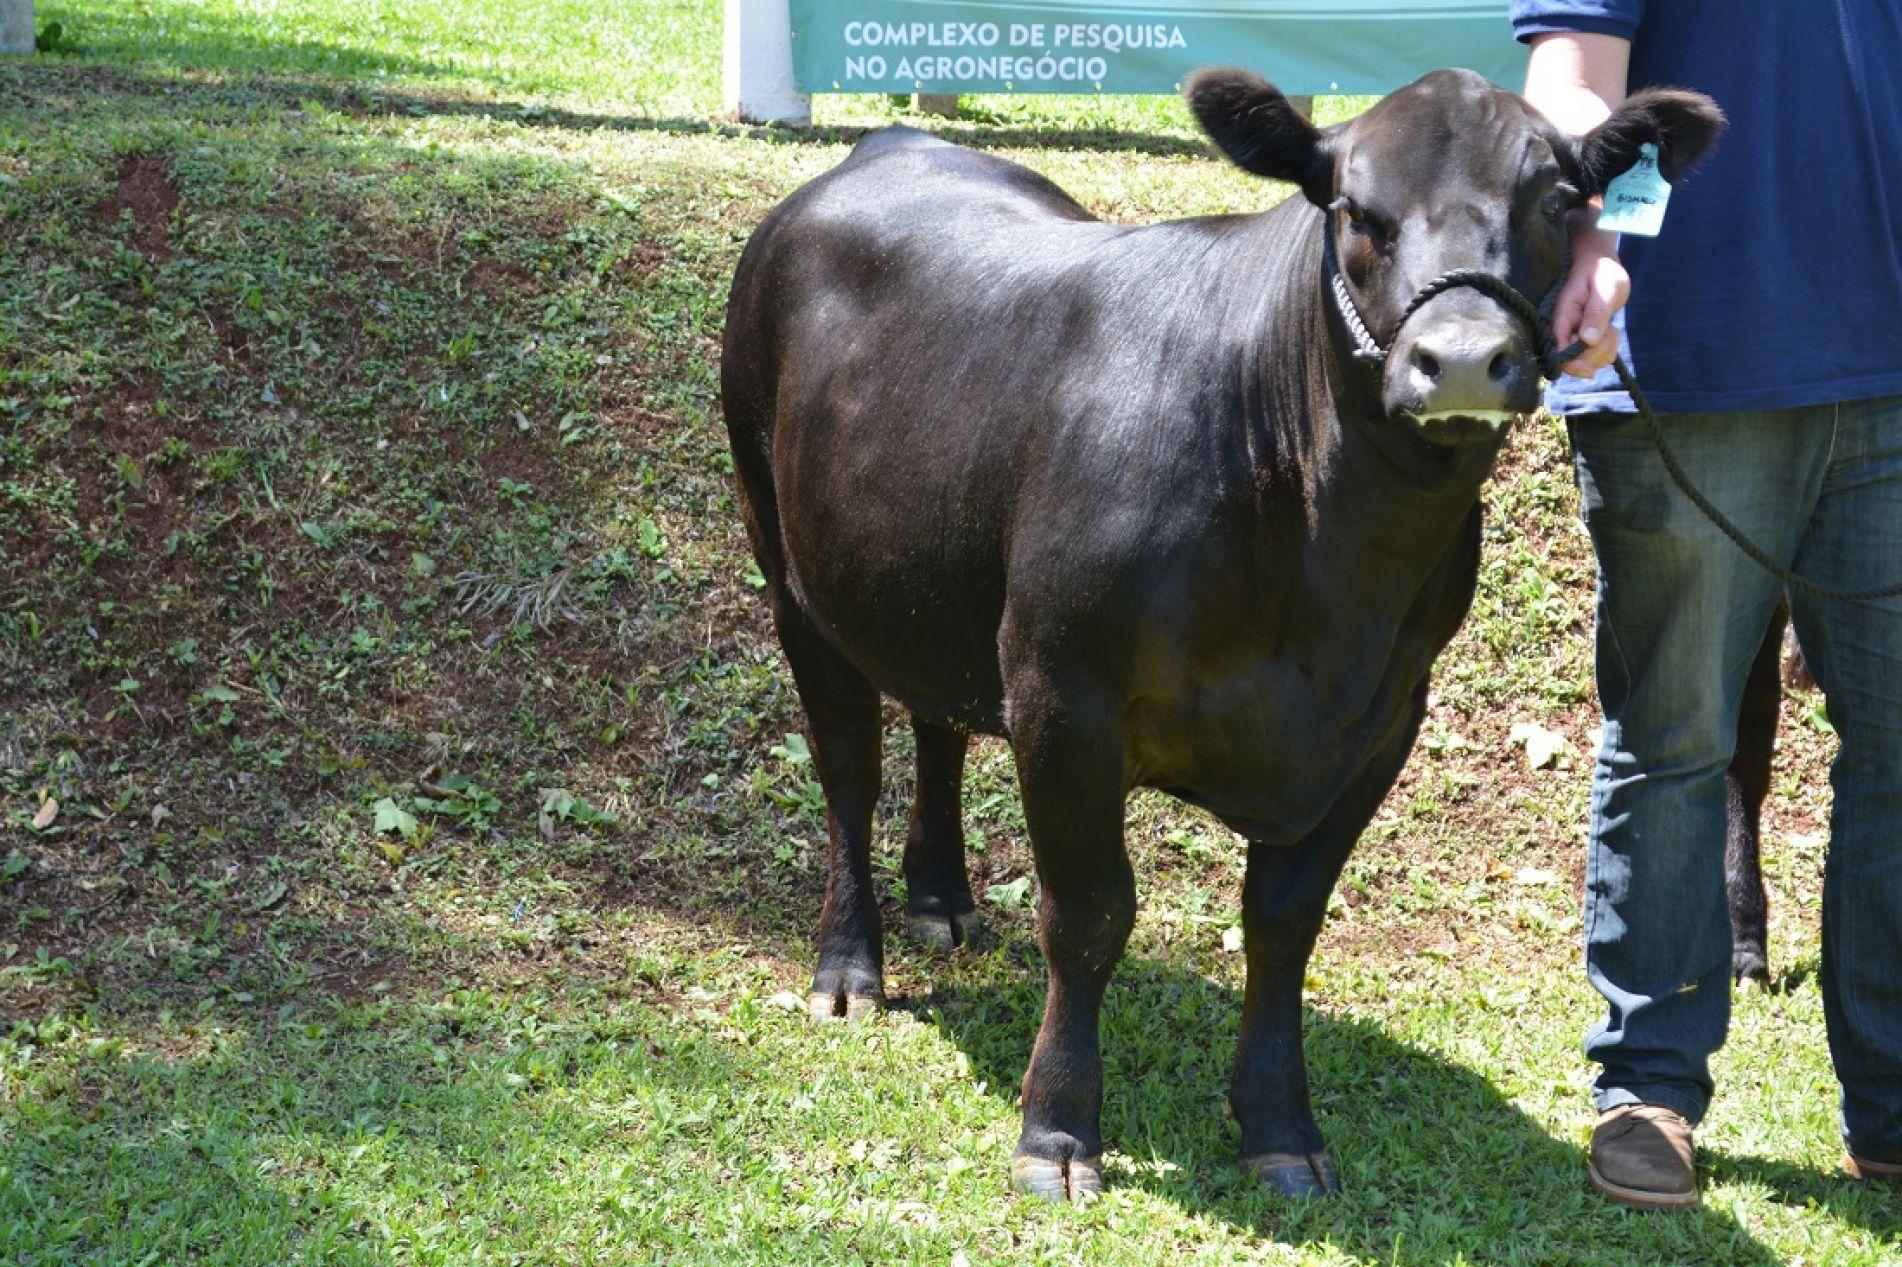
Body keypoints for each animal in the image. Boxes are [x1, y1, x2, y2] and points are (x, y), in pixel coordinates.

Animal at [715, 66, 1727, 1194]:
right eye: (1354, 211)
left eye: (1555, 200)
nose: (1463, 359)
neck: (1326, 578)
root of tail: (887, 145)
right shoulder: (1063, 695)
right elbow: (1090, 914)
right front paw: (1057, 1130)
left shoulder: (1383, 718)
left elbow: (1283, 923)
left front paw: (1280, 1125)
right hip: (787, 564)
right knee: (848, 766)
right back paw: (852, 965)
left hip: (931, 572)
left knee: (936, 720)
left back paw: (941, 897)